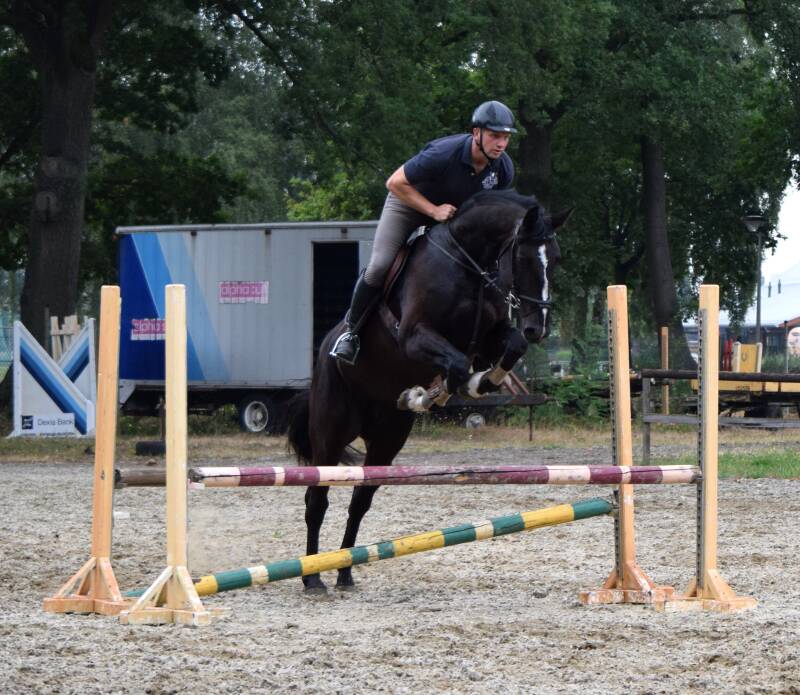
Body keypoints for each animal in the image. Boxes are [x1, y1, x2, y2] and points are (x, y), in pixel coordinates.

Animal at [288, 188, 569, 592]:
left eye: (556, 259)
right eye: (525, 257)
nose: (539, 328)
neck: (470, 265)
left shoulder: (489, 336)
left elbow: (508, 349)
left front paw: (468, 386)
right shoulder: (415, 336)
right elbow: (457, 365)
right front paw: (437, 392)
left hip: (386, 441)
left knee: (359, 501)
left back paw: (344, 571)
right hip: (330, 432)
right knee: (317, 498)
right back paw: (312, 578)